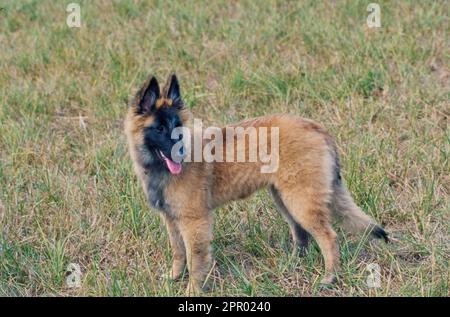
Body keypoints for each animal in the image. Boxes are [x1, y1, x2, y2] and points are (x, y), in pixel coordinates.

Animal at [125, 73, 388, 292]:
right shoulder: (171, 220)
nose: (181, 154)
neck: (157, 169)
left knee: (328, 237)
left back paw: (329, 278)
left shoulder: (194, 222)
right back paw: (293, 263)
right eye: (160, 128)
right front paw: (174, 278)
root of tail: (317, 128)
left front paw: (192, 290)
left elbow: (195, 259)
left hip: (300, 200)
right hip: (285, 198)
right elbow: (178, 252)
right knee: (301, 233)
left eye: (178, 127)